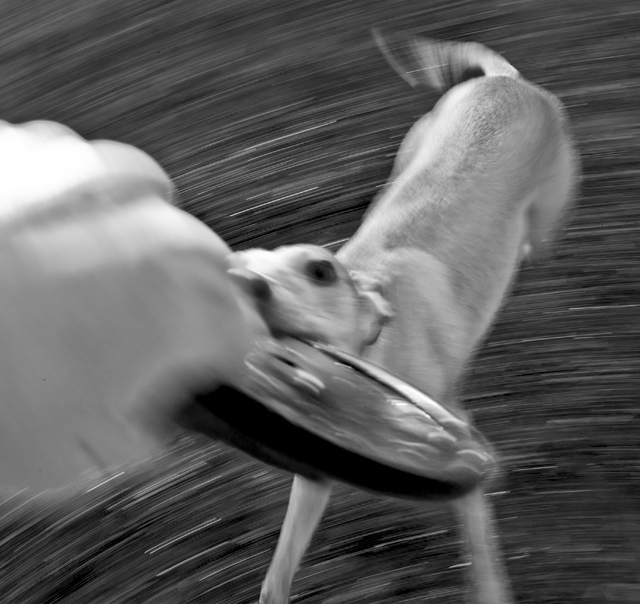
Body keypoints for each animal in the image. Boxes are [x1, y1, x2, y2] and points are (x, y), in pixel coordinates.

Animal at [231, 29, 580, 604]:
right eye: (235, 264)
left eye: (319, 270)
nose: (252, 289)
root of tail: (503, 83)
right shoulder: (317, 472)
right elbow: (278, 572)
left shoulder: (457, 447)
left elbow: (483, 555)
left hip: (546, 217)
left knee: (536, 241)